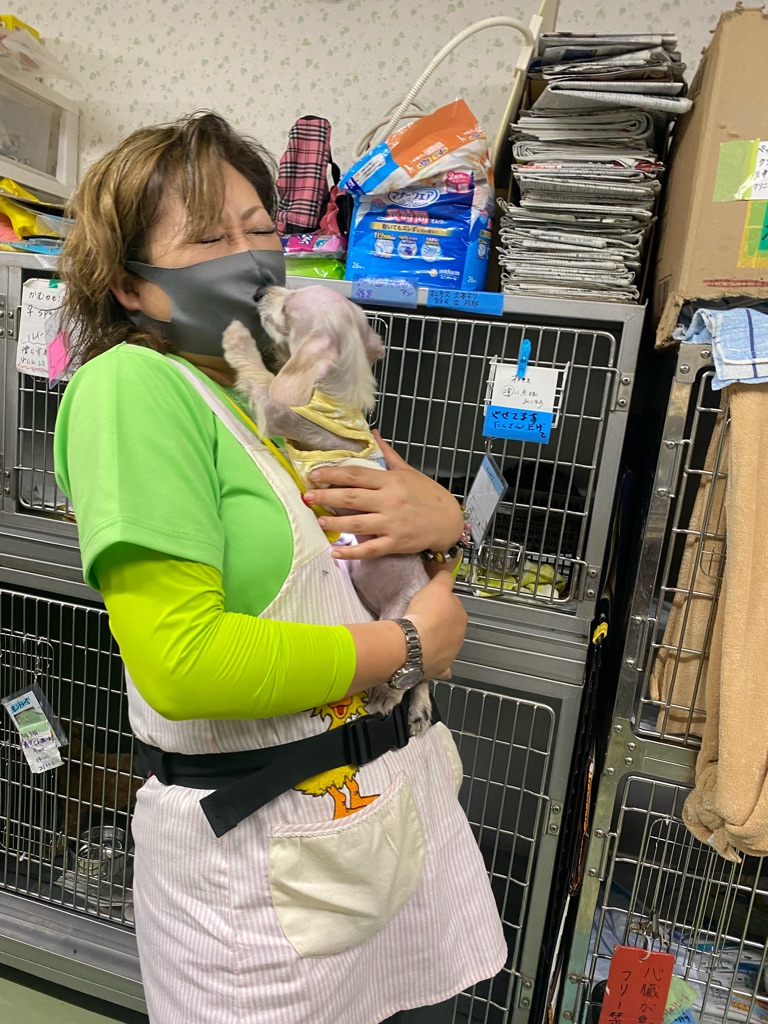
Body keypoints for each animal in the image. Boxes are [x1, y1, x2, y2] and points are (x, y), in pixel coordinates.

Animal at [221, 285, 433, 735]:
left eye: (286, 307)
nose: (261, 290)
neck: (333, 399)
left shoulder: (279, 410)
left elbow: (264, 381)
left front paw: (238, 339)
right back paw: (420, 712)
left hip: (400, 611)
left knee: (415, 669)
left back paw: (391, 697)